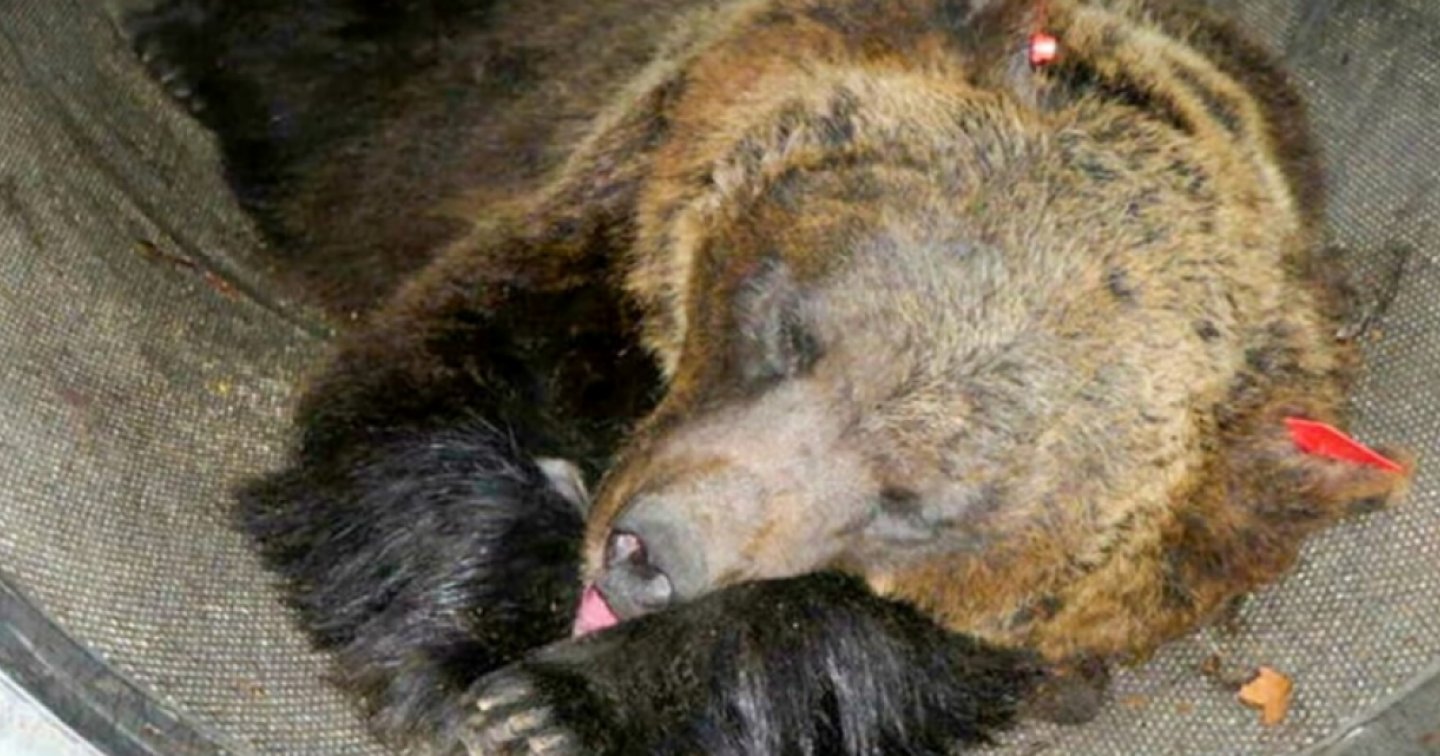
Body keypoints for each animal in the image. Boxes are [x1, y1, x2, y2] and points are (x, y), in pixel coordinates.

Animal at [125, 0, 1413, 753]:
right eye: (795, 332)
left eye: (913, 505)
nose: (648, 553)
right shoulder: (613, 196)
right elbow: (436, 383)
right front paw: (463, 656)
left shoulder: (1147, 565)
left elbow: (859, 652)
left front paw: (557, 705)